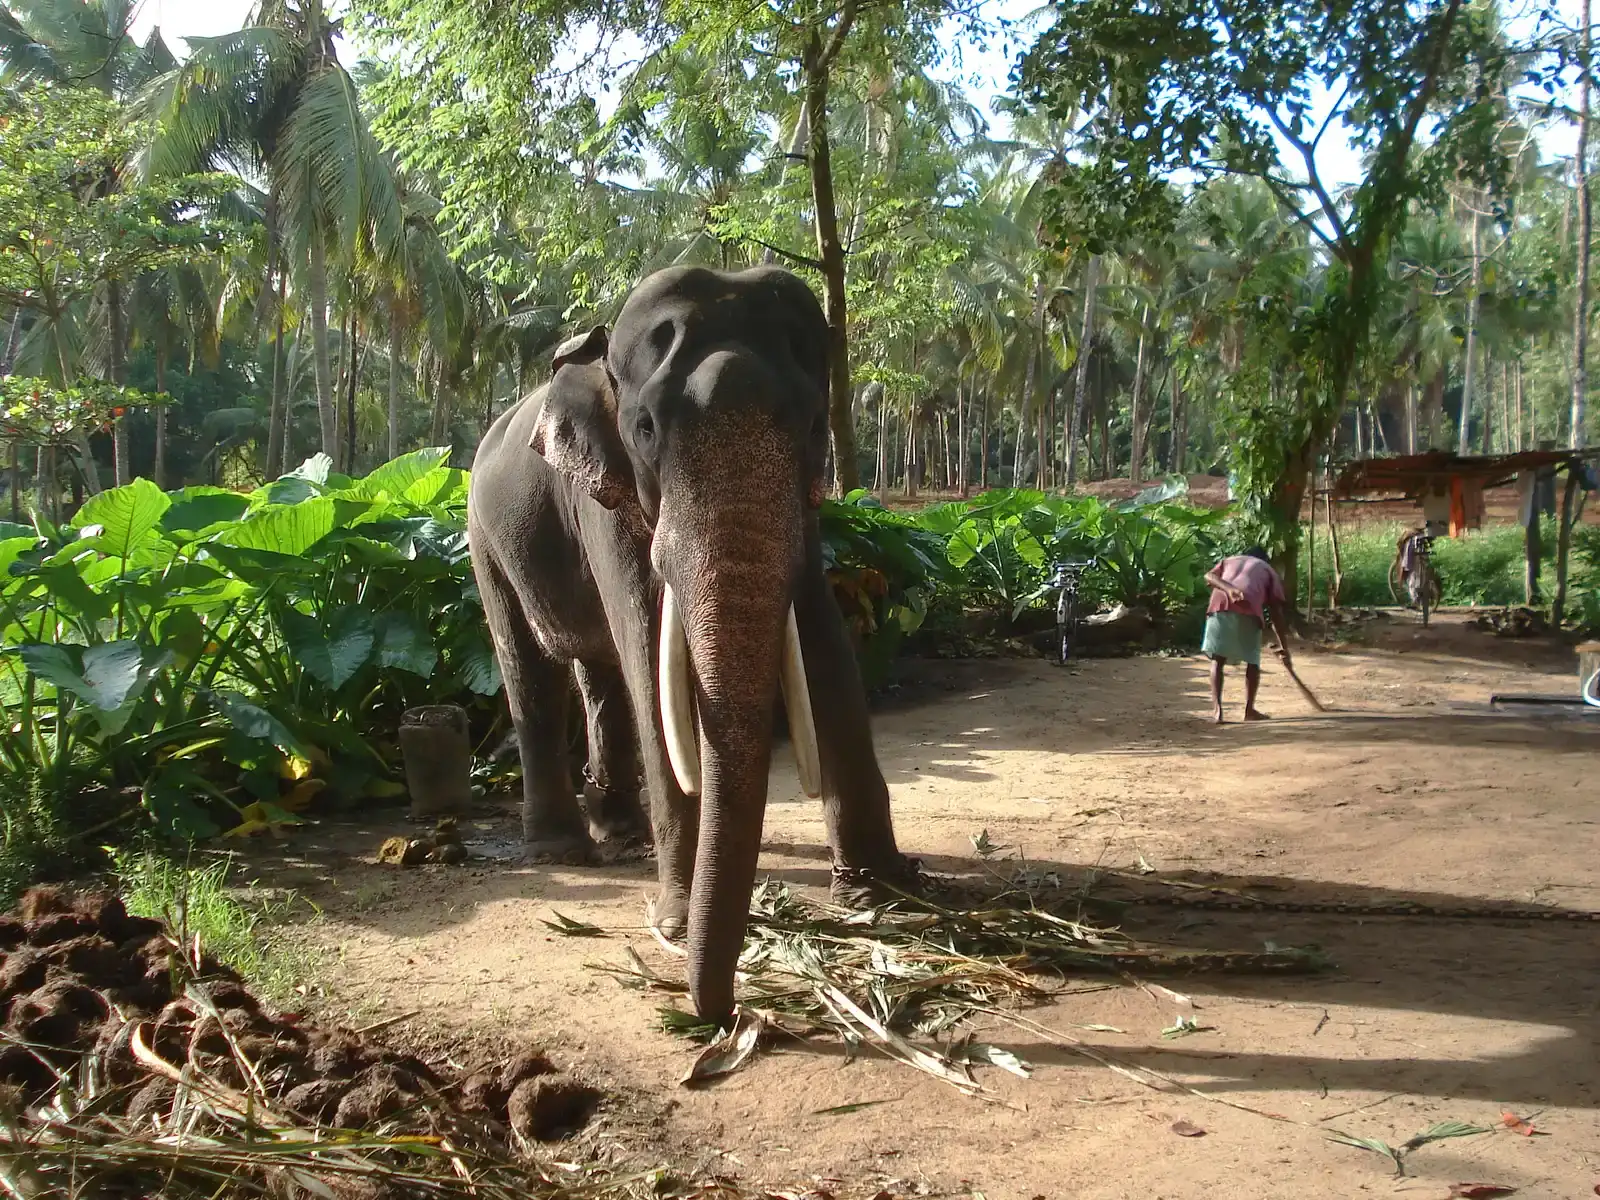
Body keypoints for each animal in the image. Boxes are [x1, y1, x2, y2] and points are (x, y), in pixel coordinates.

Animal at [466, 265, 919, 1025]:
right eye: (645, 428)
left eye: (814, 426)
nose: (720, 1011)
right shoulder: (606, 495)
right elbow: (653, 652)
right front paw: (674, 922)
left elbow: (821, 637)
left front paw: (882, 893)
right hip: (480, 538)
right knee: (530, 666)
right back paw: (563, 849)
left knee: (599, 673)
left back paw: (620, 833)